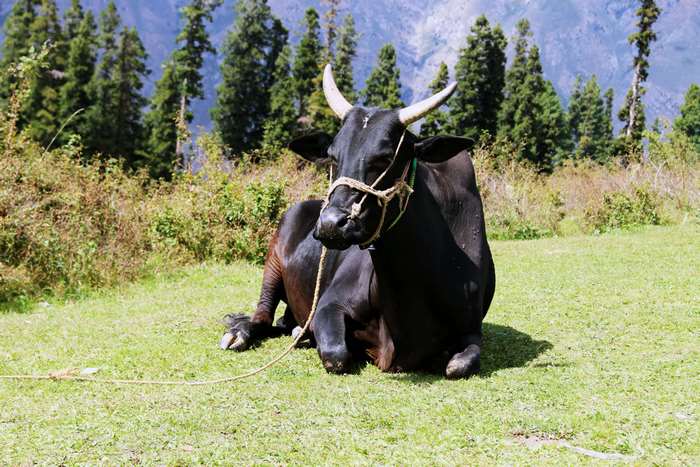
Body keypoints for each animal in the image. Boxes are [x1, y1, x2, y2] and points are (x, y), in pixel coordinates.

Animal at [220, 65, 495, 379]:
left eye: (385, 158)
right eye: (332, 156)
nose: (330, 223)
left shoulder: (472, 329)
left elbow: (460, 365)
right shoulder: (329, 305)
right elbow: (336, 355)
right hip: (272, 262)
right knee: (264, 315)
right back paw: (241, 332)